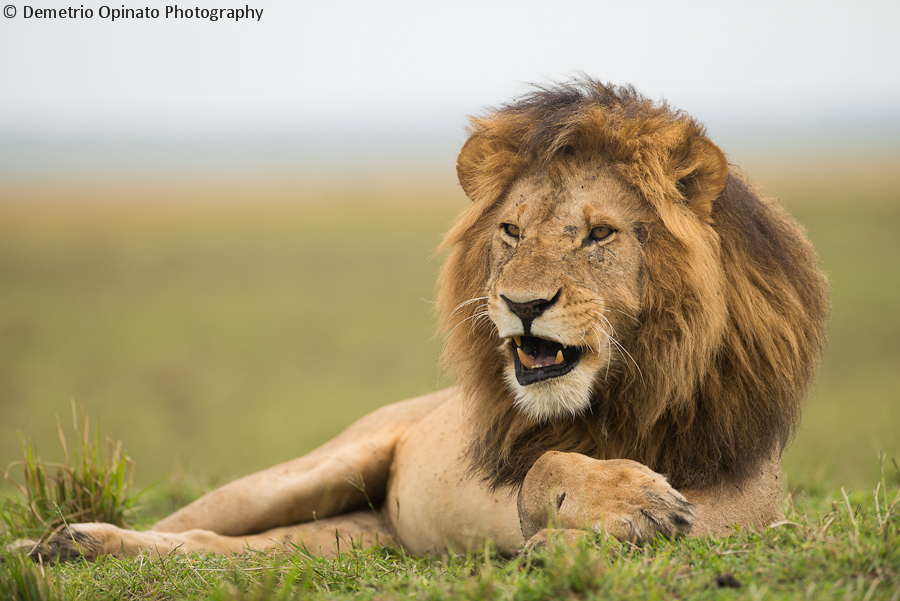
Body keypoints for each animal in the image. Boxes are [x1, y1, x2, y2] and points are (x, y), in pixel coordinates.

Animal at [15, 79, 828, 564]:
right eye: (509, 231)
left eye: (599, 234)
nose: (522, 304)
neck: (628, 391)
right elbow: (543, 467)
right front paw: (624, 502)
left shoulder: (745, 512)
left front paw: (583, 539)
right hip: (313, 469)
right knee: (192, 520)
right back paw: (58, 542)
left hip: (347, 540)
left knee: (223, 544)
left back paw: (74, 548)